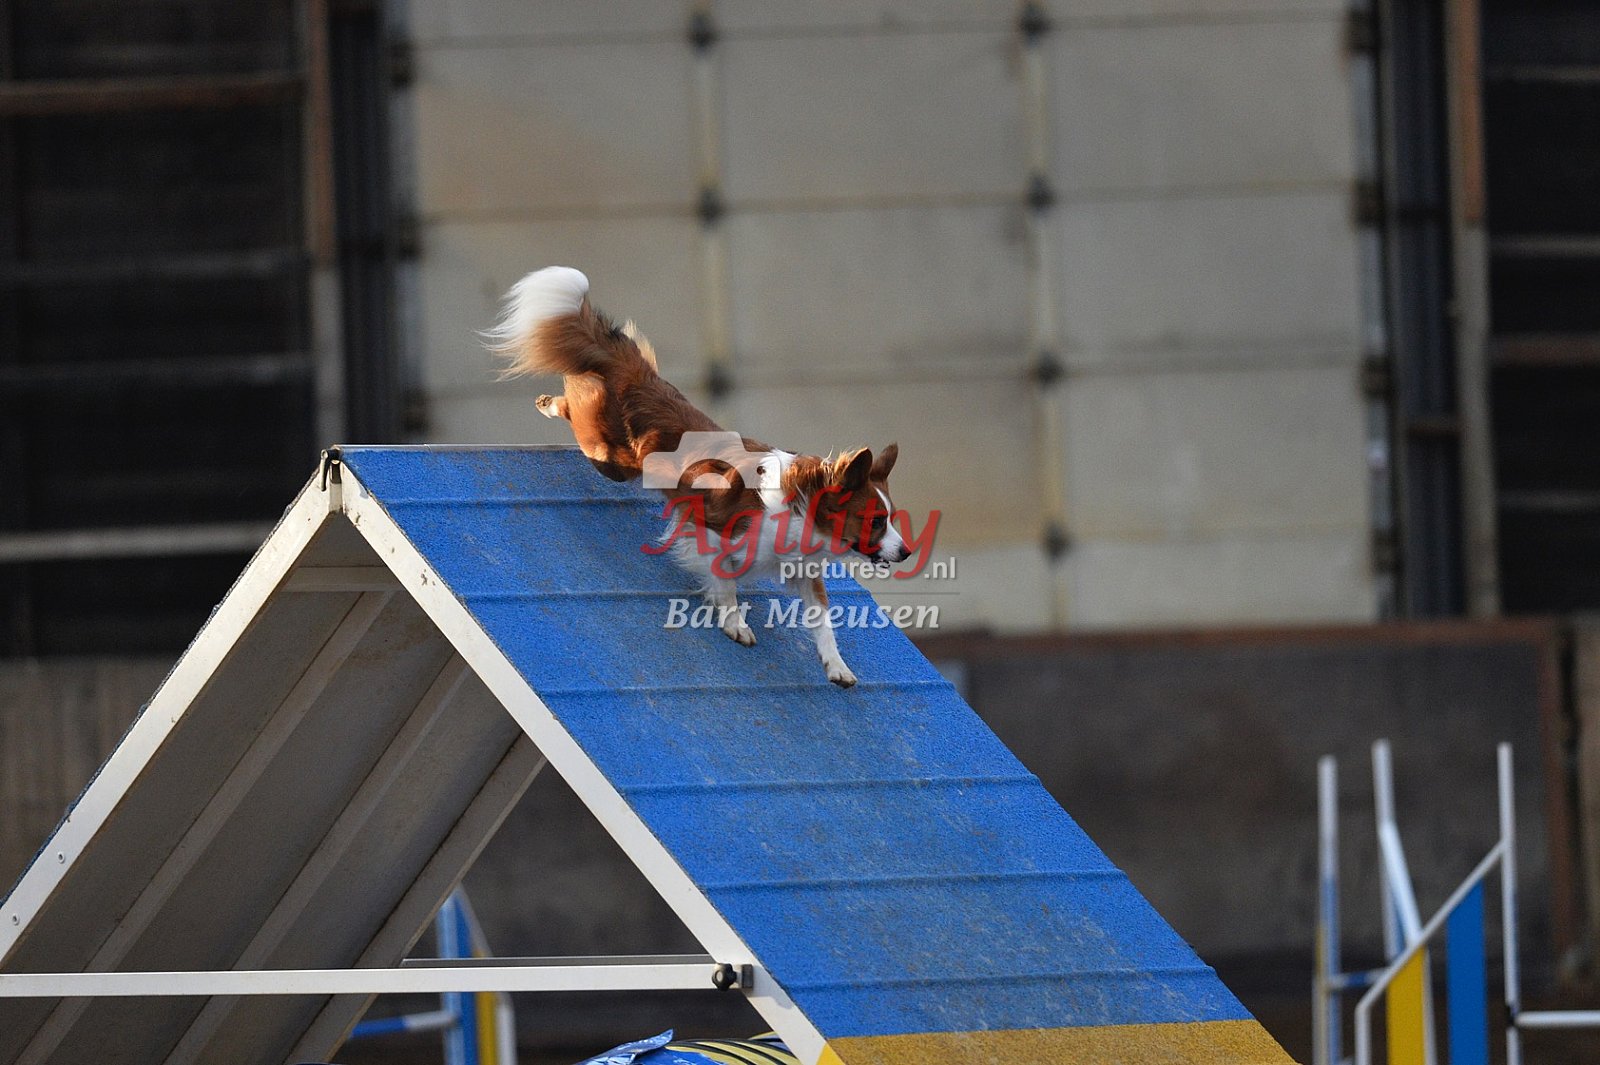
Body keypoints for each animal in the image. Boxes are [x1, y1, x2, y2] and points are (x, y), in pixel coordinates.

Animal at [485, 266, 908, 688]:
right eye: (875, 521)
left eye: (890, 518)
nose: (905, 552)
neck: (800, 506)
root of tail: (639, 376)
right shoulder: (710, 526)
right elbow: (725, 579)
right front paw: (735, 623)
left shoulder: (804, 569)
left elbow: (822, 620)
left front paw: (836, 665)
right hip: (609, 457)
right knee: (576, 405)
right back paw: (549, 404)